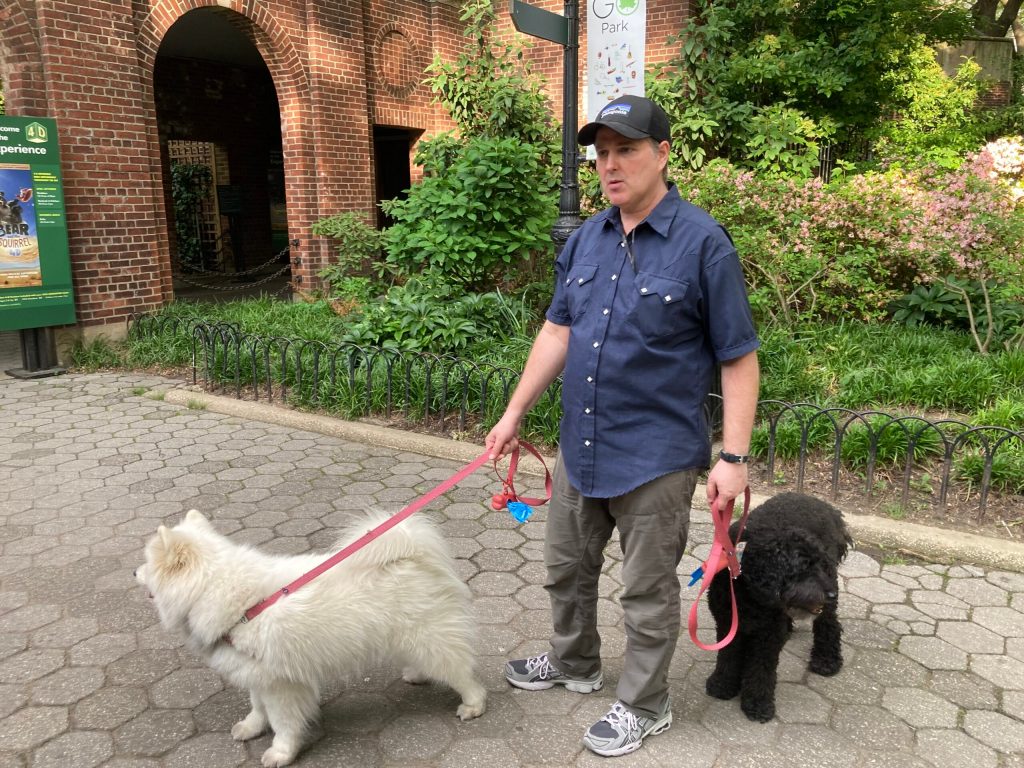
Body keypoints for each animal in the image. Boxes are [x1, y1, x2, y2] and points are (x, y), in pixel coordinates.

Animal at [135, 509, 486, 767]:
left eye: (147, 564)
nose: (133, 572)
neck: (238, 604)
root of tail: (410, 555)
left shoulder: (282, 686)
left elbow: (283, 724)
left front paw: (281, 753)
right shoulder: (258, 675)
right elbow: (257, 708)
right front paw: (251, 728)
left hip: (430, 639)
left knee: (462, 674)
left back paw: (473, 705)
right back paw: (417, 674)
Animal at [704, 492, 852, 722]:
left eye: (820, 564)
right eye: (804, 568)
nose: (830, 594)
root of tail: (830, 509)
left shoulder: (768, 634)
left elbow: (761, 669)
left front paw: (757, 703)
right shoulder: (728, 623)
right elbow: (728, 656)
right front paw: (723, 685)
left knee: (829, 625)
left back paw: (827, 660)